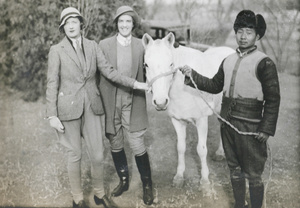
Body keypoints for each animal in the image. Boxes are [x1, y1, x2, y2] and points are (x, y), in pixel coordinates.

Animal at [142, 32, 236, 188]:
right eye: (146, 65)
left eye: (171, 64)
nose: (160, 102)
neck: (184, 89)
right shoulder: (177, 121)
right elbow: (180, 148)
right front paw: (179, 176)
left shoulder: (201, 121)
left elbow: (201, 150)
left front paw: (204, 180)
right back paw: (220, 153)